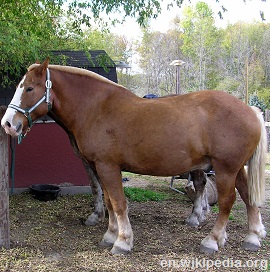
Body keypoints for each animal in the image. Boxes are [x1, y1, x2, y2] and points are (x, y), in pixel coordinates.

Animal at [2, 58, 268, 255]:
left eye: (29, 88)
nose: (8, 124)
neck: (96, 108)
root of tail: (251, 110)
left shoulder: (108, 166)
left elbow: (119, 203)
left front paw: (123, 241)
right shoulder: (99, 167)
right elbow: (109, 201)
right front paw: (110, 235)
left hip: (225, 169)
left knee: (227, 202)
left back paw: (212, 240)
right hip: (236, 169)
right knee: (248, 198)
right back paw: (253, 237)